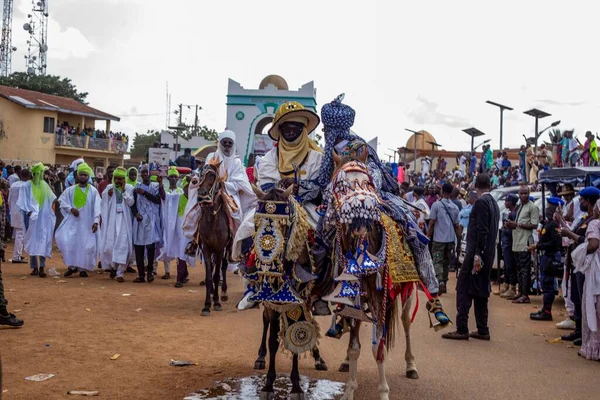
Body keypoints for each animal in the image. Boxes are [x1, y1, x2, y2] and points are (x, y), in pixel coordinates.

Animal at [245, 183, 326, 398]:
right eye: (256, 223)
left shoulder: (301, 300)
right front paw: (268, 384)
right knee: (265, 323)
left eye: (284, 224)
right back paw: (260, 357)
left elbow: (299, 335)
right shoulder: (271, 303)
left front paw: (296, 385)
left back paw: (318, 357)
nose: (268, 268)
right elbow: (273, 341)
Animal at [322, 148, 424, 400]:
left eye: (368, 181)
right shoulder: (352, 298)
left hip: (406, 293)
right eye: (340, 185)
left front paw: (384, 392)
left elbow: (377, 348)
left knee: (406, 322)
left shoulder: (380, 298)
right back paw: (345, 362)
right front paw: (349, 389)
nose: (361, 211)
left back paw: (411, 365)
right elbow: (354, 347)